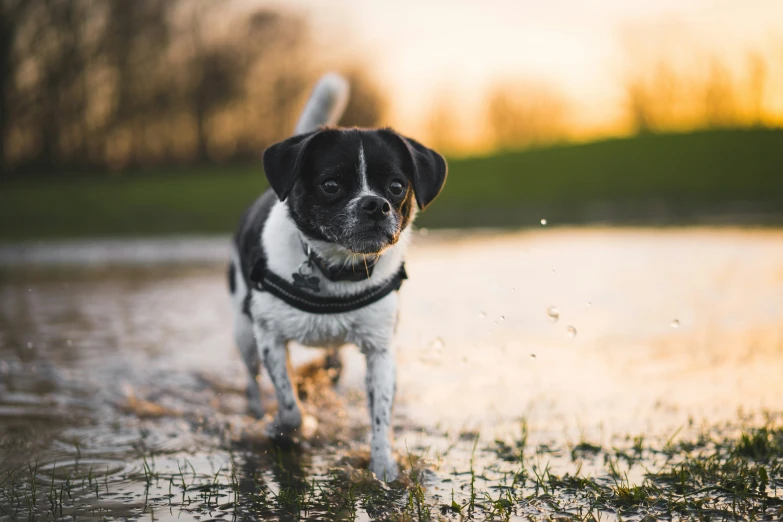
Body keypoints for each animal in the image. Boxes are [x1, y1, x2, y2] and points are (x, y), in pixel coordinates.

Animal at [228, 73, 448, 480]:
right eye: (331, 184)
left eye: (397, 186)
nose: (375, 204)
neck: (336, 268)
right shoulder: (269, 336)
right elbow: (289, 405)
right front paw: (285, 429)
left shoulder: (380, 348)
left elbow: (380, 416)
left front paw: (384, 470)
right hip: (243, 331)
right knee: (251, 379)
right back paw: (257, 412)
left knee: (332, 366)